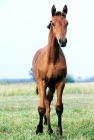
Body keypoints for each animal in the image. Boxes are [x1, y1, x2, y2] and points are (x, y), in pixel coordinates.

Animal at [32, 4, 68, 138]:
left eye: (67, 23)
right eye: (53, 23)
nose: (62, 41)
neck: (52, 59)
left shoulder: (60, 82)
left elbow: (58, 107)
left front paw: (59, 132)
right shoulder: (41, 83)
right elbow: (41, 107)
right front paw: (38, 129)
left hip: (51, 86)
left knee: (48, 101)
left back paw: (49, 128)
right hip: (42, 85)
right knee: (45, 103)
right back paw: (46, 128)